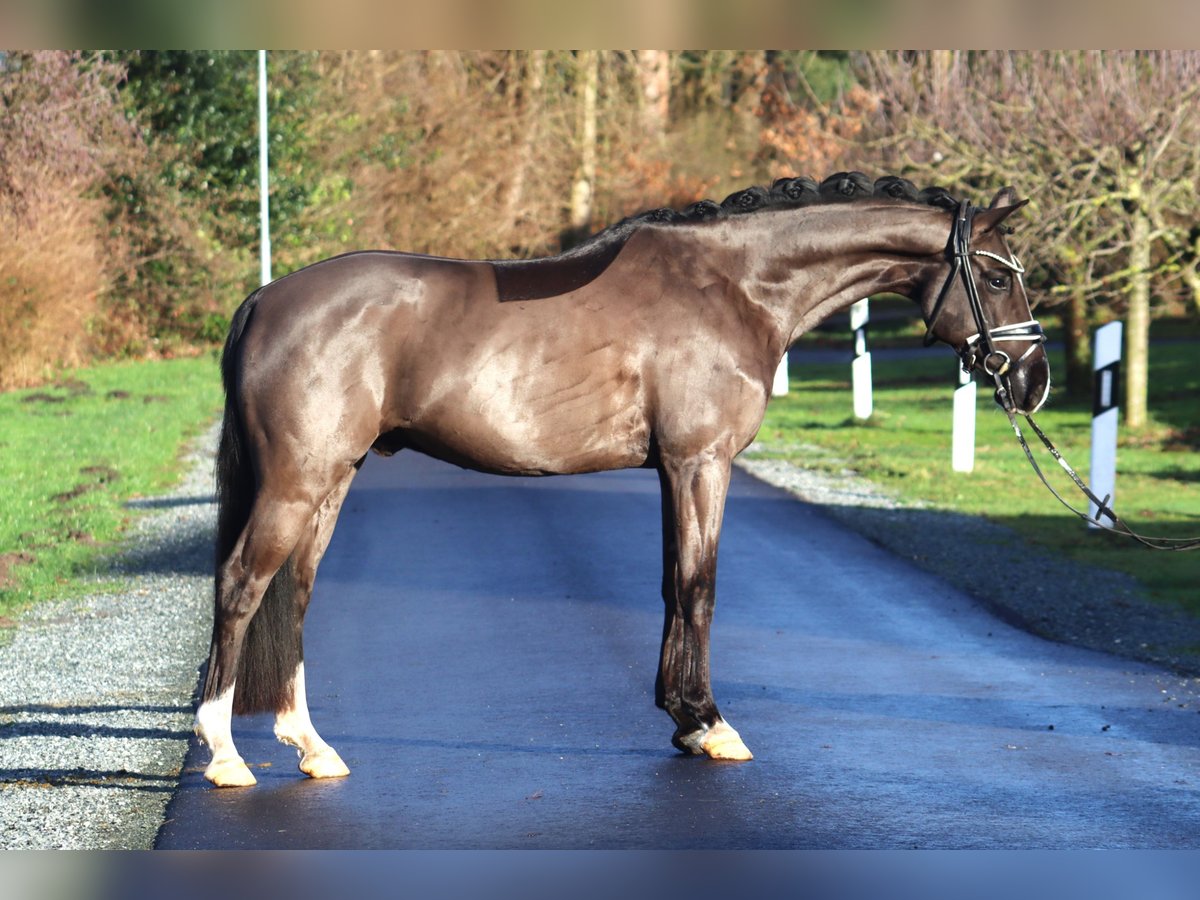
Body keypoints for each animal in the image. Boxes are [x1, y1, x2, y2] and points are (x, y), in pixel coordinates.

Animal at [196, 172, 1051, 787]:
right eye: (997, 278)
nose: (1034, 381)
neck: (735, 287)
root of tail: (265, 299)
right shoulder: (701, 462)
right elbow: (700, 587)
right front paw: (710, 724)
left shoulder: (676, 469)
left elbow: (673, 584)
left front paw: (684, 720)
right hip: (297, 483)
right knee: (242, 585)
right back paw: (226, 754)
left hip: (330, 482)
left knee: (294, 592)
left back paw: (310, 746)